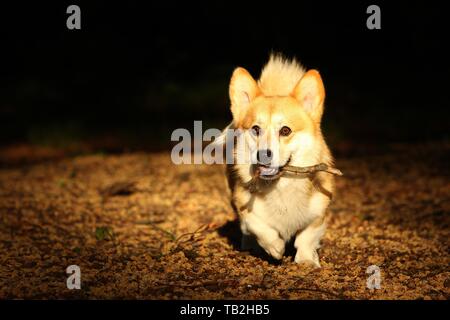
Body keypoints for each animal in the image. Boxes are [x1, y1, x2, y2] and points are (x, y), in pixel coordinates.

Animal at [221, 53, 334, 266]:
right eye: (256, 129)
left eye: (285, 130)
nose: (263, 154)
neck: (281, 186)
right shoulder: (243, 204)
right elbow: (256, 224)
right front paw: (275, 246)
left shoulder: (320, 212)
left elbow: (307, 237)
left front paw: (307, 260)